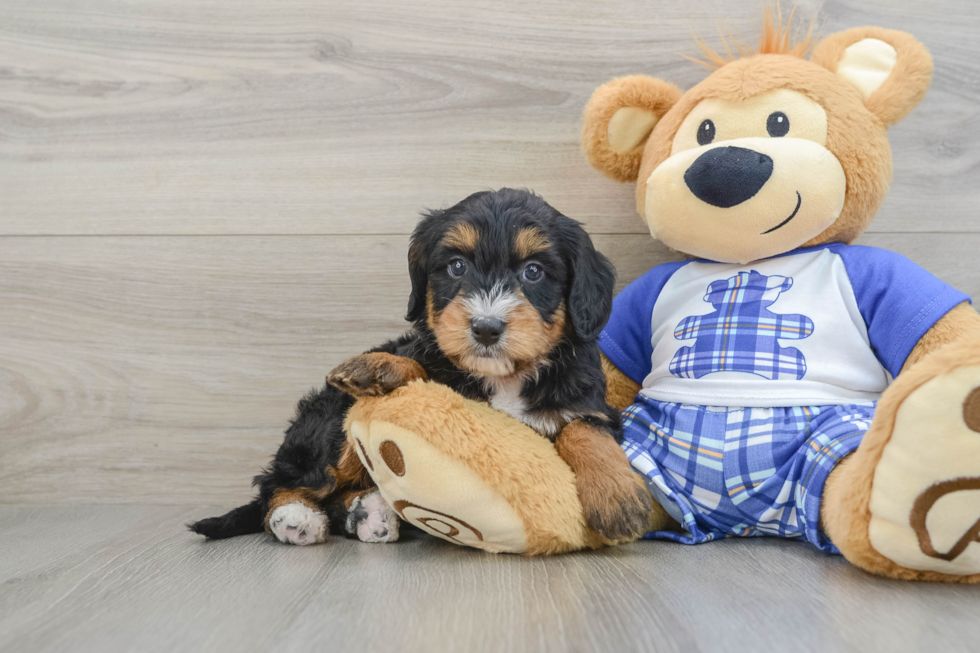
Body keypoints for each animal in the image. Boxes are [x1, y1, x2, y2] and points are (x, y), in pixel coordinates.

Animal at [190, 188, 652, 544]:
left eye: (534, 272)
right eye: (457, 266)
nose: (486, 328)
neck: (504, 376)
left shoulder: (589, 402)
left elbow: (584, 430)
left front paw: (617, 497)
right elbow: (423, 370)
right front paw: (380, 366)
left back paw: (370, 513)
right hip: (330, 425)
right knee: (283, 482)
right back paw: (296, 518)